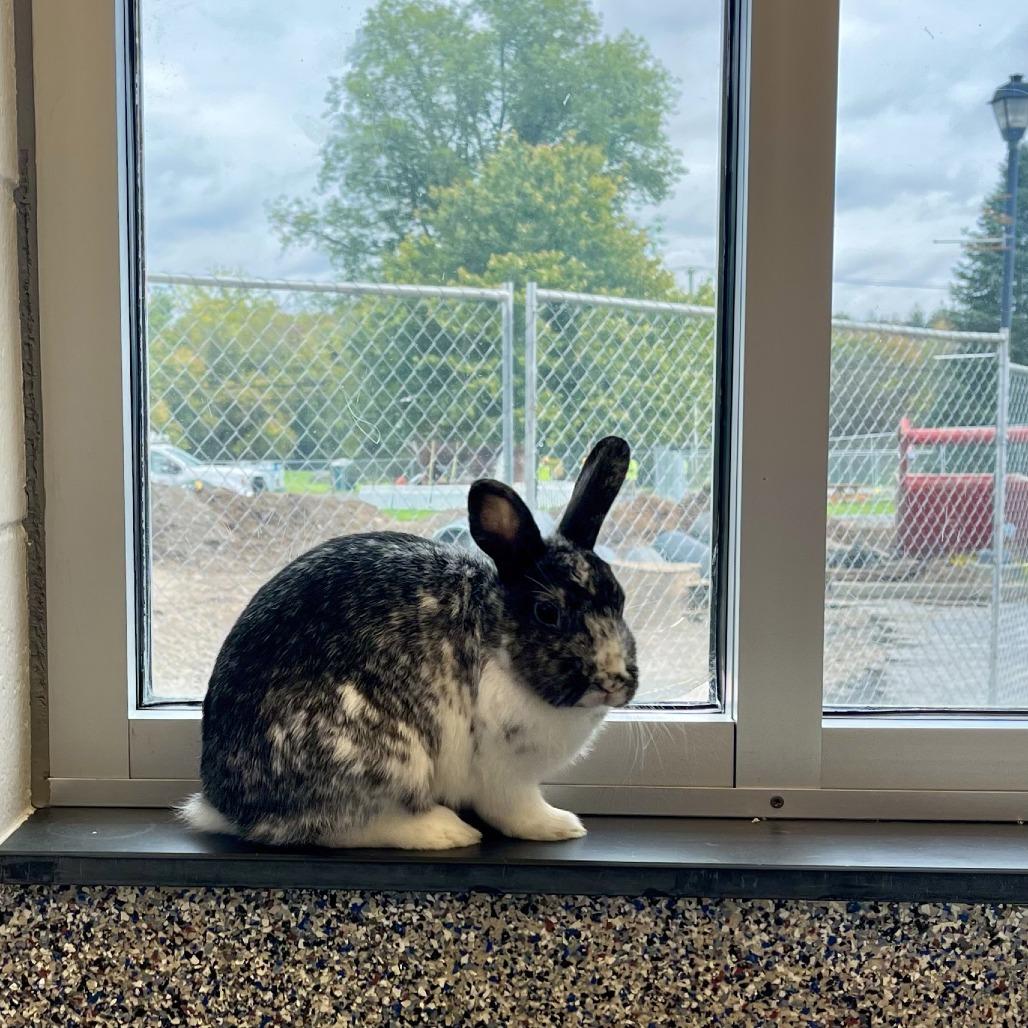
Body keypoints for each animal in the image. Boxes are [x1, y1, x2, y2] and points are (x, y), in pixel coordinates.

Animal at [180, 436, 638, 849]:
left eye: (620, 598)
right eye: (547, 612)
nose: (614, 681)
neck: (496, 640)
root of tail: (228, 807)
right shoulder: (503, 773)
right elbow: (516, 810)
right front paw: (560, 826)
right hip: (386, 756)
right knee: (350, 827)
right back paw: (445, 832)